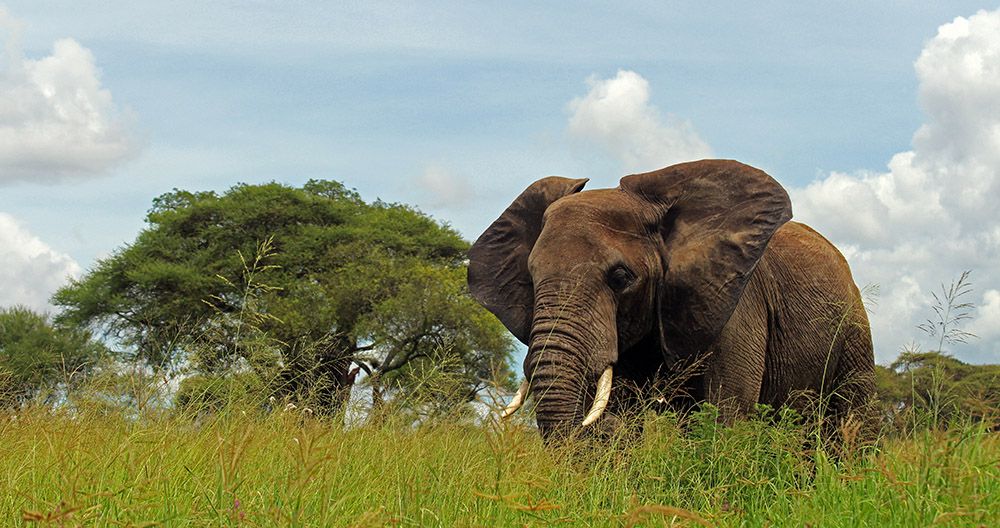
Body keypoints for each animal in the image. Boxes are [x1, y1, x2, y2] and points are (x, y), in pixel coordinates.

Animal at [468, 159, 876, 440]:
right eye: (532, 279)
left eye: (621, 278)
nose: (596, 429)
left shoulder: (734, 304)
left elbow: (724, 411)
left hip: (855, 329)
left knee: (852, 421)